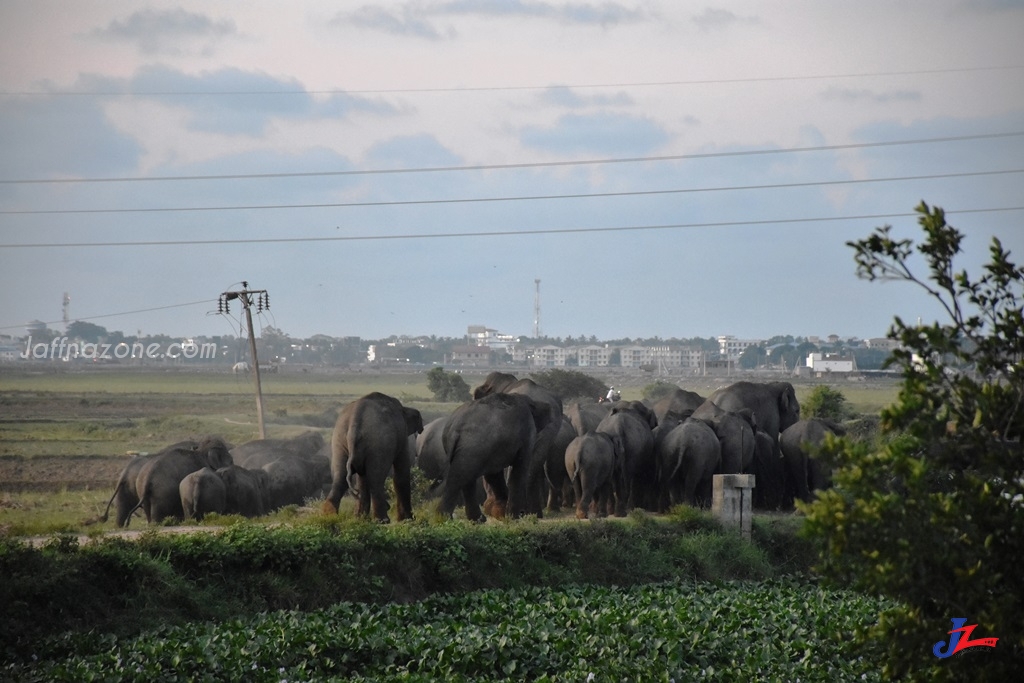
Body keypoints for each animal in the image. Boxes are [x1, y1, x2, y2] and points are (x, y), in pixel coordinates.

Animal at [327, 389, 423, 524]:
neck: (403, 408)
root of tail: (354, 426)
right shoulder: (402, 436)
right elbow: (401, 471)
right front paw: (407, 519)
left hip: (339, 439)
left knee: (339, 478)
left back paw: (329, 516)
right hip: (379, 444)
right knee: (376, 479)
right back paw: (382, 520)